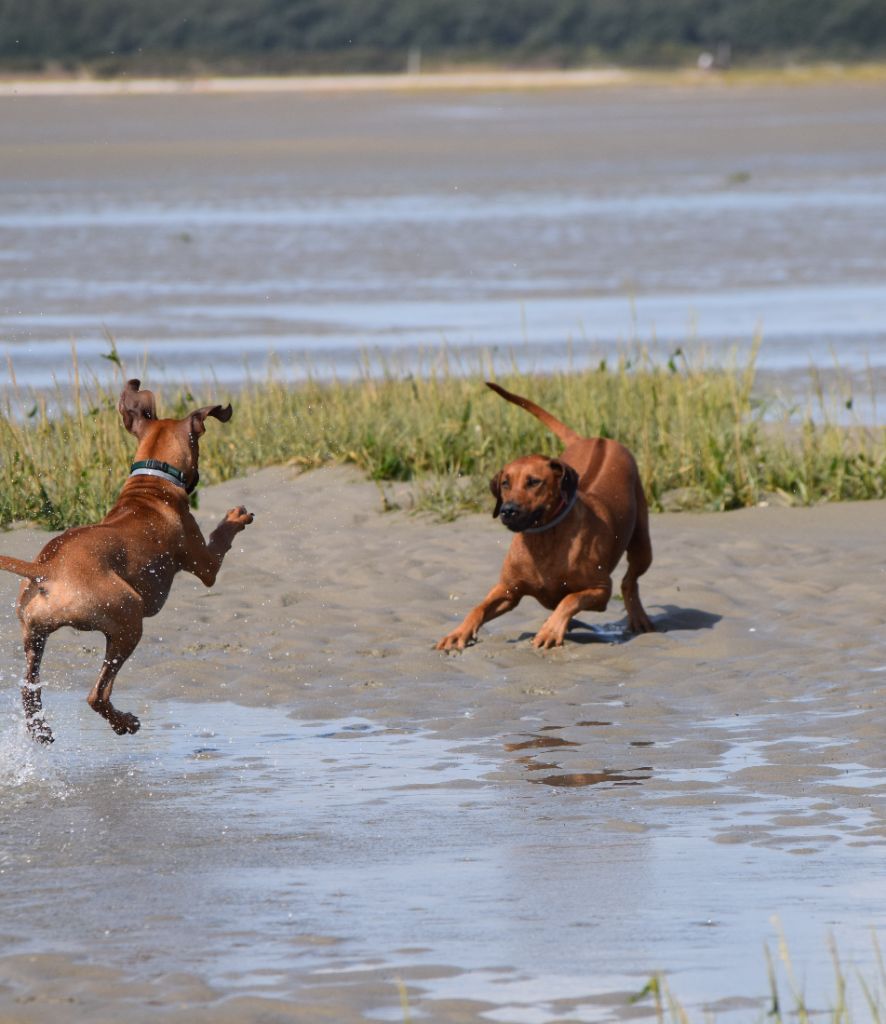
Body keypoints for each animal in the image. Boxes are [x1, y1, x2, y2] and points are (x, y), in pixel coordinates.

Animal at [0, 380, 256, 741]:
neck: (153, 483)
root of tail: (46, 568)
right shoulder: (206, 563)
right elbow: (220, 541)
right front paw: (235, 518)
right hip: (129, 617)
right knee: (97, 694)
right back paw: (125, 723)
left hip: (34, 635)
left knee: (29, 688)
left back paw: (41, 730)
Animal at [432, 380, 651, 651]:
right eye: (505, 483)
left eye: (534, 482)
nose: (507, 511)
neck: (543, 539)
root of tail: (597, 439)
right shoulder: (508, 590)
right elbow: (478, 607)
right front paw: (458, 632)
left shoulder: (600, 589)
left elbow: (569, 600)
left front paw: (551, 630)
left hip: (642, 543)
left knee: (629, 581)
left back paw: (638, 617)